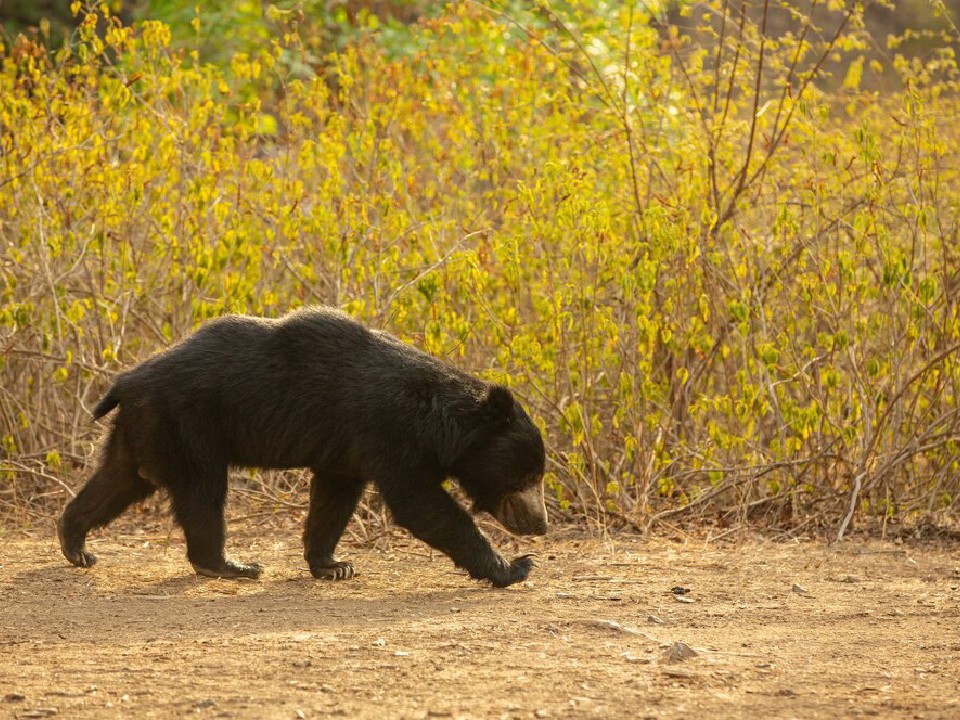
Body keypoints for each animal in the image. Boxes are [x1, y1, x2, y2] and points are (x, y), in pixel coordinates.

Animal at [58, 306, 548, 588]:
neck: (437, 421)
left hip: (144, 428)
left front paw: (333, 565)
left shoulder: (346, 450)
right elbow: (420, 503)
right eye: (526, 476)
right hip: (187, 424)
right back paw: (230, 565)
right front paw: (514, 567)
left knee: (119, 480)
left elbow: (334, 498)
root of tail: (126, 380)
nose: (540, 525)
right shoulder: (389, 435)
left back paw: (75, 544)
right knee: (201, 491)